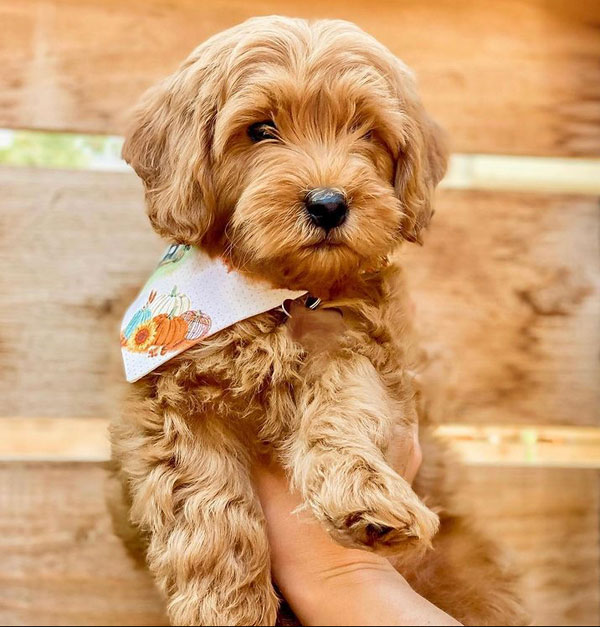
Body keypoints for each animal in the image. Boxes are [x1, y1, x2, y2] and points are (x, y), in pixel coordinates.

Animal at [109, 15, 528, 627]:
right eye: (260, 130)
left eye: (367, 132)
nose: (329, 203)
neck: (280, 294)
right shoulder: (169, 395)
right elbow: (204, 499)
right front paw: (227, 605)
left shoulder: (368, 349)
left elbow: (343, 400)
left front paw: (364, 496)